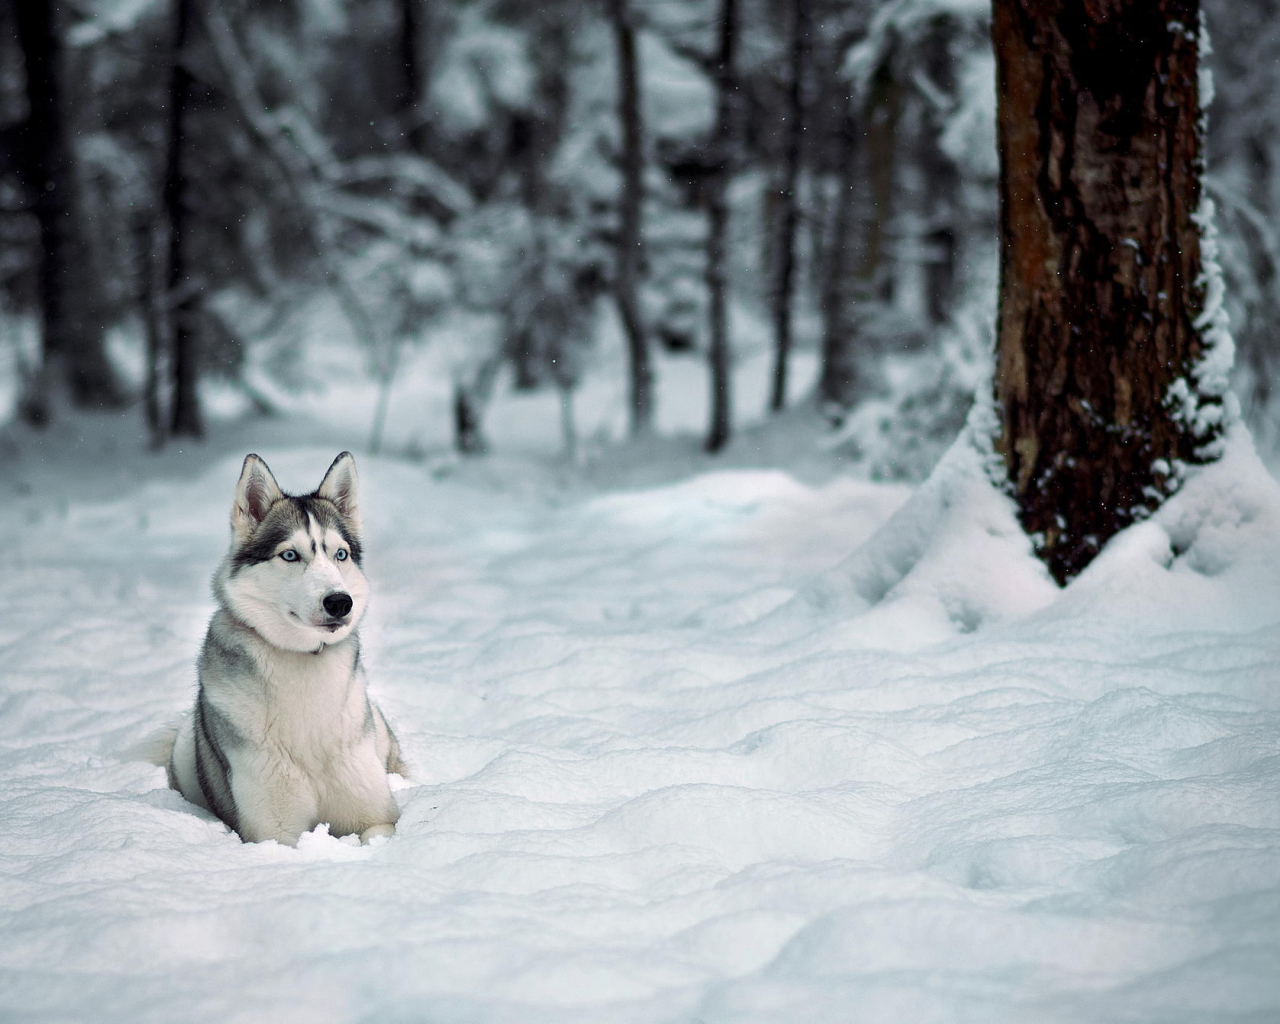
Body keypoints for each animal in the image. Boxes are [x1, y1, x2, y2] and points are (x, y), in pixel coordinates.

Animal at [166, 453, 399, 844]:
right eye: (290, 555)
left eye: (341, 554)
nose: (340, 602)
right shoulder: (273, 833)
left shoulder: (377, 818)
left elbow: (378, 830)